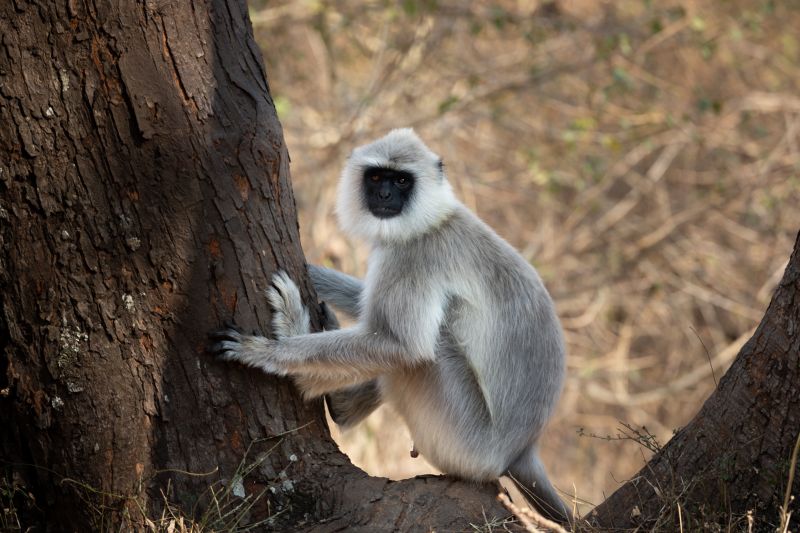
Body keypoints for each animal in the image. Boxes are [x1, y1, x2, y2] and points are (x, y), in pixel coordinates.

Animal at [214, 130, 568, 524]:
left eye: (400, 180)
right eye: (376, 177)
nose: (384, 196)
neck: (434, 220)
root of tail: (522, 451)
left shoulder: (414, 255)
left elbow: (402, 345)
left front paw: (269, 350)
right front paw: (315, 274)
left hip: (465, 443)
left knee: (426, 348)